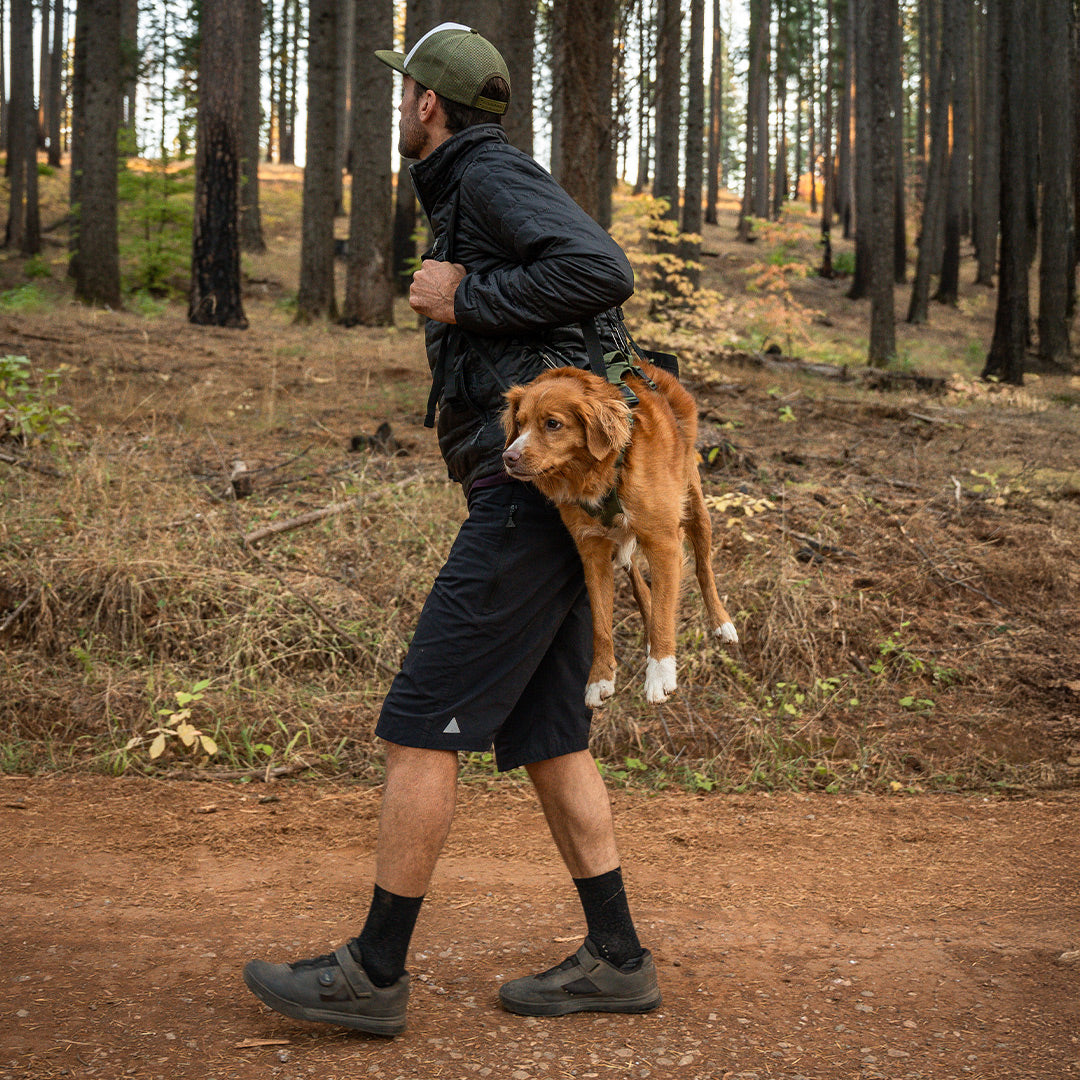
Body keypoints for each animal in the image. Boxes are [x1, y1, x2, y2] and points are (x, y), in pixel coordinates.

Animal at [501, 358, 738, 704]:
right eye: (519, 423)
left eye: (553, 424)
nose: (508, 457)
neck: (602, 470)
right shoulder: (592, 552)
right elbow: (601, 622)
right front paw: (600, 678)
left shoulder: (664, 542)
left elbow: (666, 609)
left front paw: (660, 672)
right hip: (622, 544)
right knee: (640, 583)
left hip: (696, 511)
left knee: (704, 569)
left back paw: (722, 623)